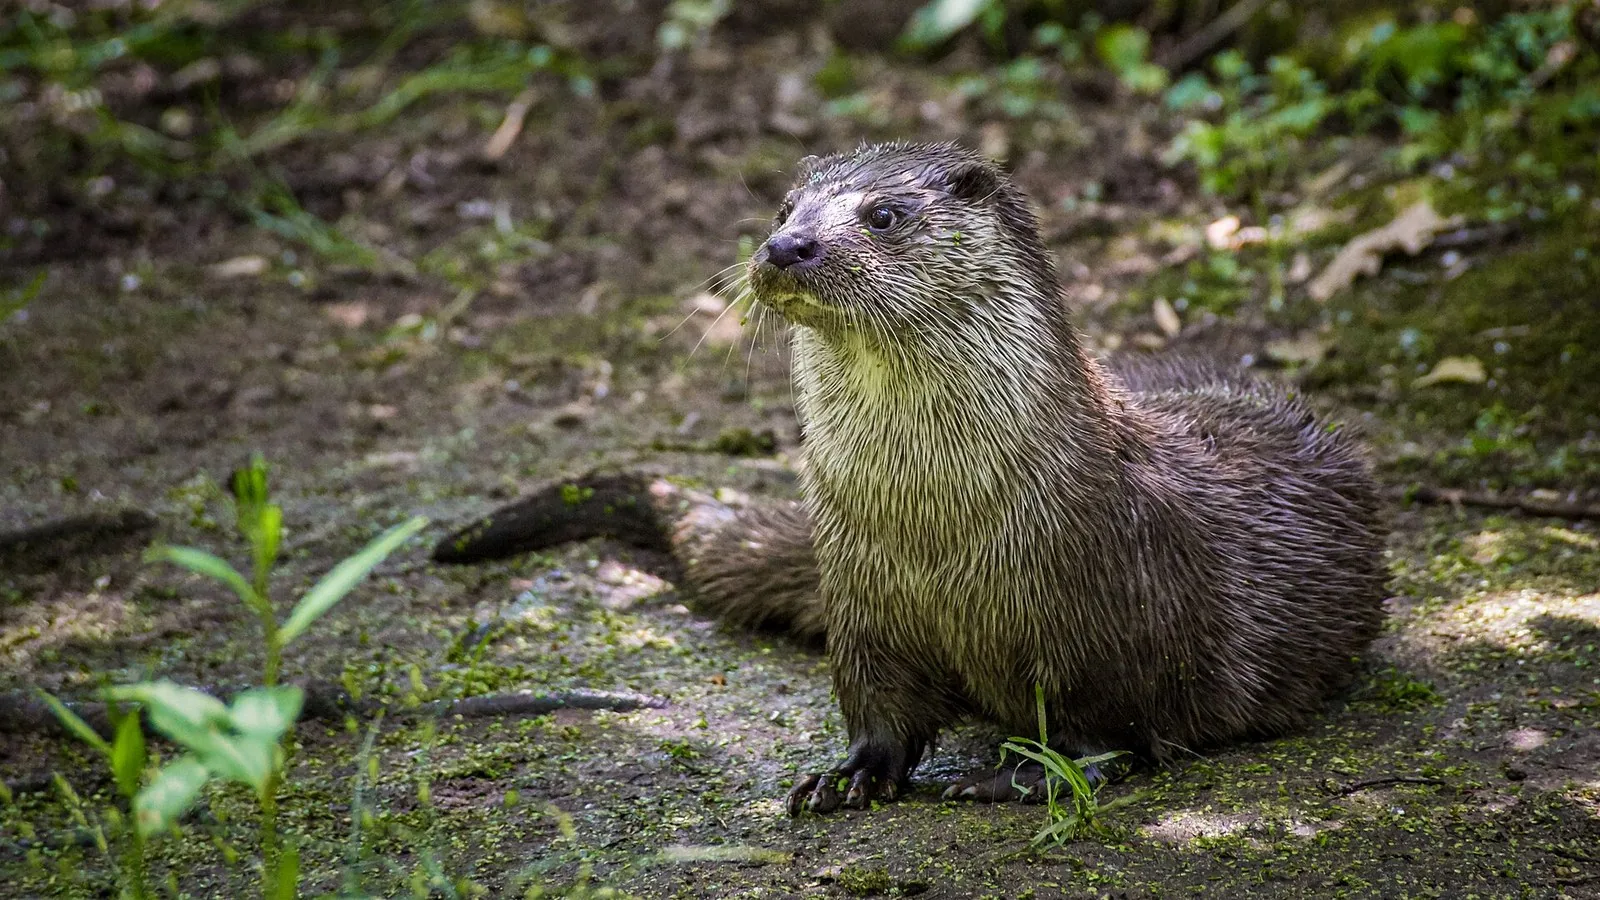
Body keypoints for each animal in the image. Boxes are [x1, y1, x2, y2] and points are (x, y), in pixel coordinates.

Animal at [434, 142, 1388, 816]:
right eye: (783, 207)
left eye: (885, 213)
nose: (786, 245)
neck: (935, 520)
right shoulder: (859, 592)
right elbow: (878, 706)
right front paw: (847, 776)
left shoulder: (1112, 609)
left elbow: (1109, 724)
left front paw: (1029, 776)